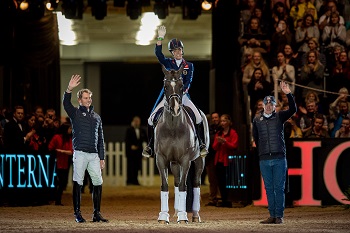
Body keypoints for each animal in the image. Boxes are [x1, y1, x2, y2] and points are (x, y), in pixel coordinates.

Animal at [155, 64, 208, 224]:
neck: (173, 127)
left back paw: (195, 215)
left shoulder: (185, 160)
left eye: (181, 86)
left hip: (199, 160)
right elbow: (165, 185)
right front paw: (163, 216)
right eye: (165, 86)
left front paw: (184, 217)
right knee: (177, 183)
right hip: (174, 163)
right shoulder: (161, 159)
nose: (176, 108)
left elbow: (184, 186)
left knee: (196, 183)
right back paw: (177, 211)